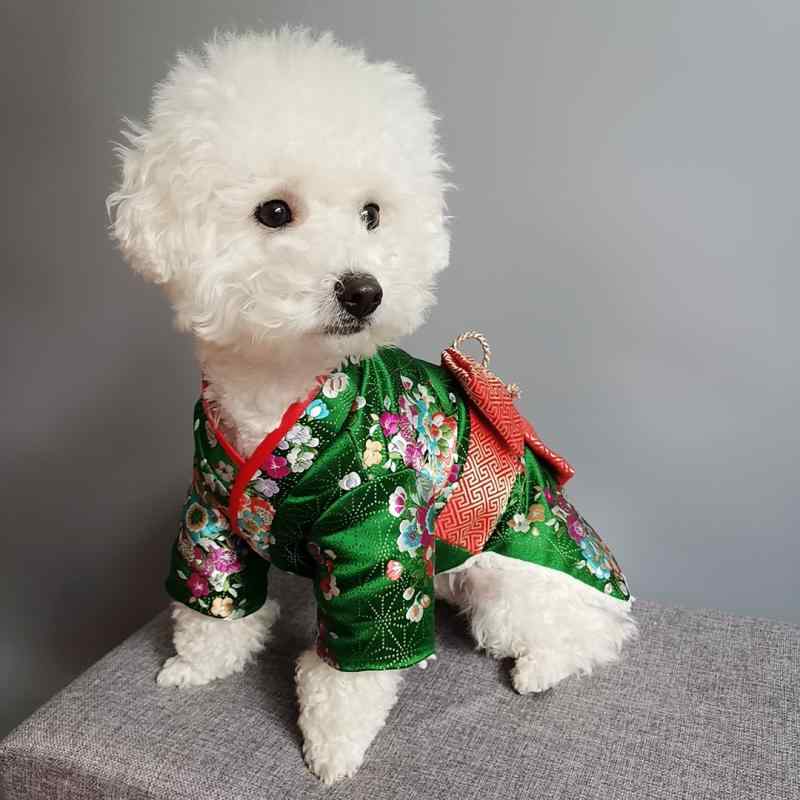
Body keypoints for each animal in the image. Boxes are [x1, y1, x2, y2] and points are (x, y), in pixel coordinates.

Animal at [109, 28, 636, 784]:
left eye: (371, 215)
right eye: (275, 211)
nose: (365, 291)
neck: (282, 391)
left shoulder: (378, 543)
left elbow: (352, 668)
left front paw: (333, 749)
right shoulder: (210, 514)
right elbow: (216, 605)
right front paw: (196, 667)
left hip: (520, 585)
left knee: (584, 636)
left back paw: (542, 665)